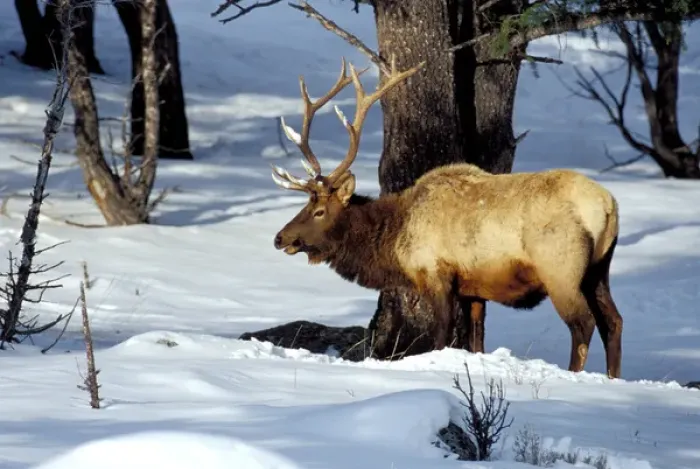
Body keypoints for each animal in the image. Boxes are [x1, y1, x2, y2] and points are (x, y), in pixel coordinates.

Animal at [270, 57, 624, 379]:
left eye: (318, 210)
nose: (280, 237)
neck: (396, 241)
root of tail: (608, 206)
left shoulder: (436, 274)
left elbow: (441, 337)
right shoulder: (474, 288)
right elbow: (476, 340)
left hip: (560, 268)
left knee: (583, 323)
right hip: (599, 268)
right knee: (613, 321)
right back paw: (612, 378)